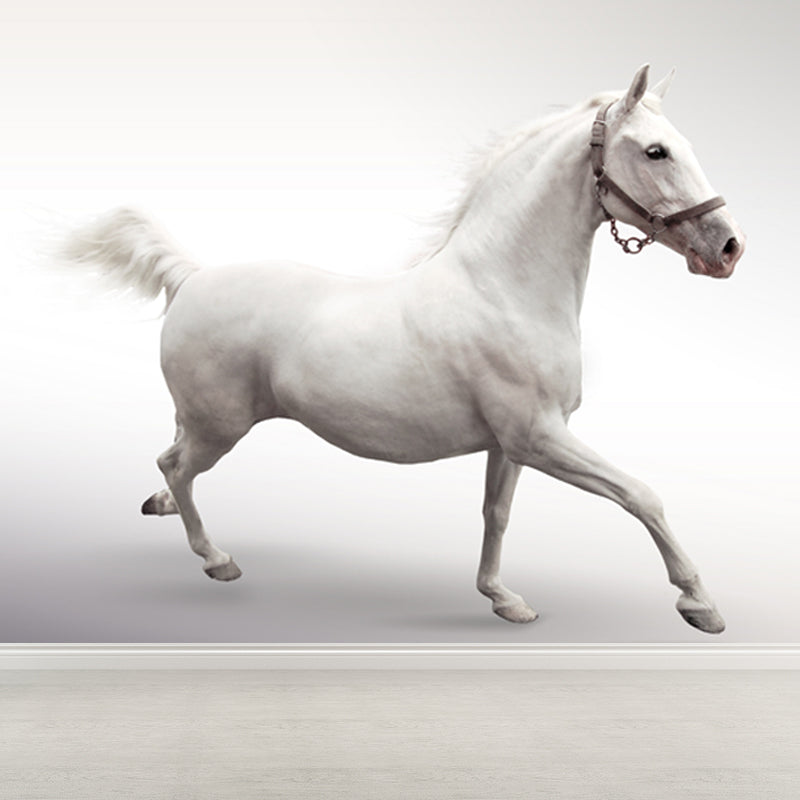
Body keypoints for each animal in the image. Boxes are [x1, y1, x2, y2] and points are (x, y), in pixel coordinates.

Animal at [57, 65, 744, 634]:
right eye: (655, 150)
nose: (728, 248)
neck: (504, 288)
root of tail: (190, 278)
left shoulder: (510, 445)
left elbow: (496, 514)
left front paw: (503, 599)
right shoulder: (540, 437)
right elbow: (641, 495)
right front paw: (700, 604)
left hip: (200, 418)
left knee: (171, 462)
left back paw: (162, 510)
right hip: (220, 426)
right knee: (176, 466)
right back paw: (217, 560)